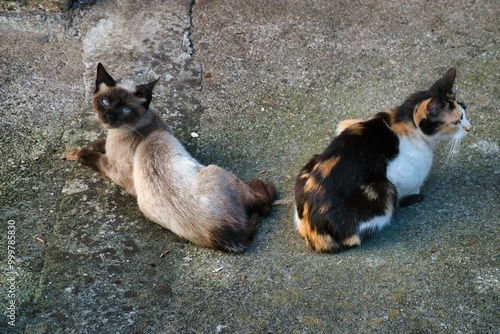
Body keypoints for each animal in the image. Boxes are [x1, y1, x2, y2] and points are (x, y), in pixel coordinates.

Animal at [63, 62, 278, 252]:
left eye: (124, 110)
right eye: (105, 102)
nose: (108, 117)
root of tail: (222, 233)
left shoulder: (115, 170)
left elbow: (93, 155)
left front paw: (80, 152)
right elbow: (100, 146)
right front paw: (96, 144)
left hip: (217, 171)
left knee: (264, 205)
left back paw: (263, 184)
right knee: (263, 207)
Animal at [294, 68, 470, 252]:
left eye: (465, 112)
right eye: (457, 121)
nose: (469, 128)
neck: (401, 121)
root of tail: (313, 231)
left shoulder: (345, 126)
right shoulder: (398, 173)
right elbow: (407, 186)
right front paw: (414, 193)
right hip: (383, 189)